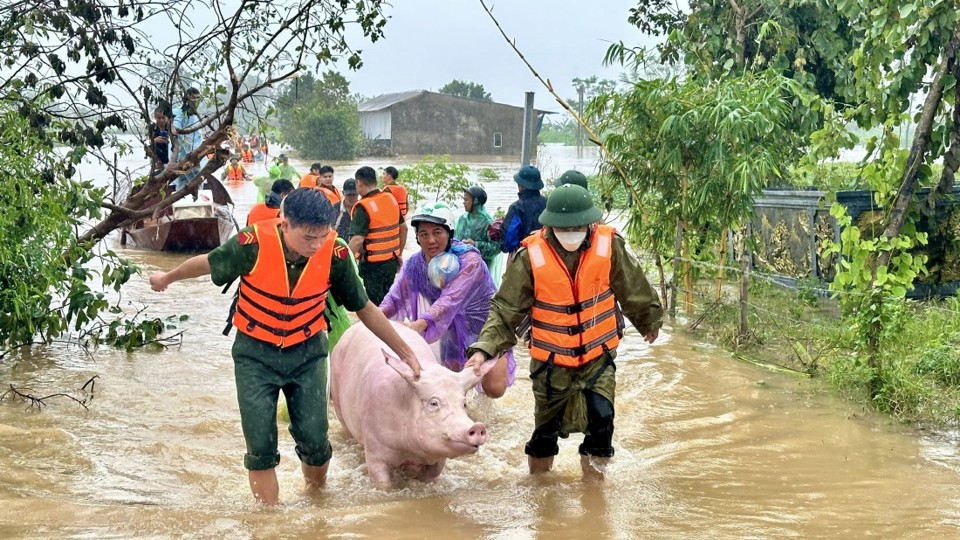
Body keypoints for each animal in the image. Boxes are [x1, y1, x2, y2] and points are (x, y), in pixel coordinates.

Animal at [328, 320, 496, 486]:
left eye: (464, 404)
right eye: (433, 403)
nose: (478, 426)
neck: (410, 451)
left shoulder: (438, 459)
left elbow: (430, 476)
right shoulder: (375, 452)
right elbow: (382, 482)